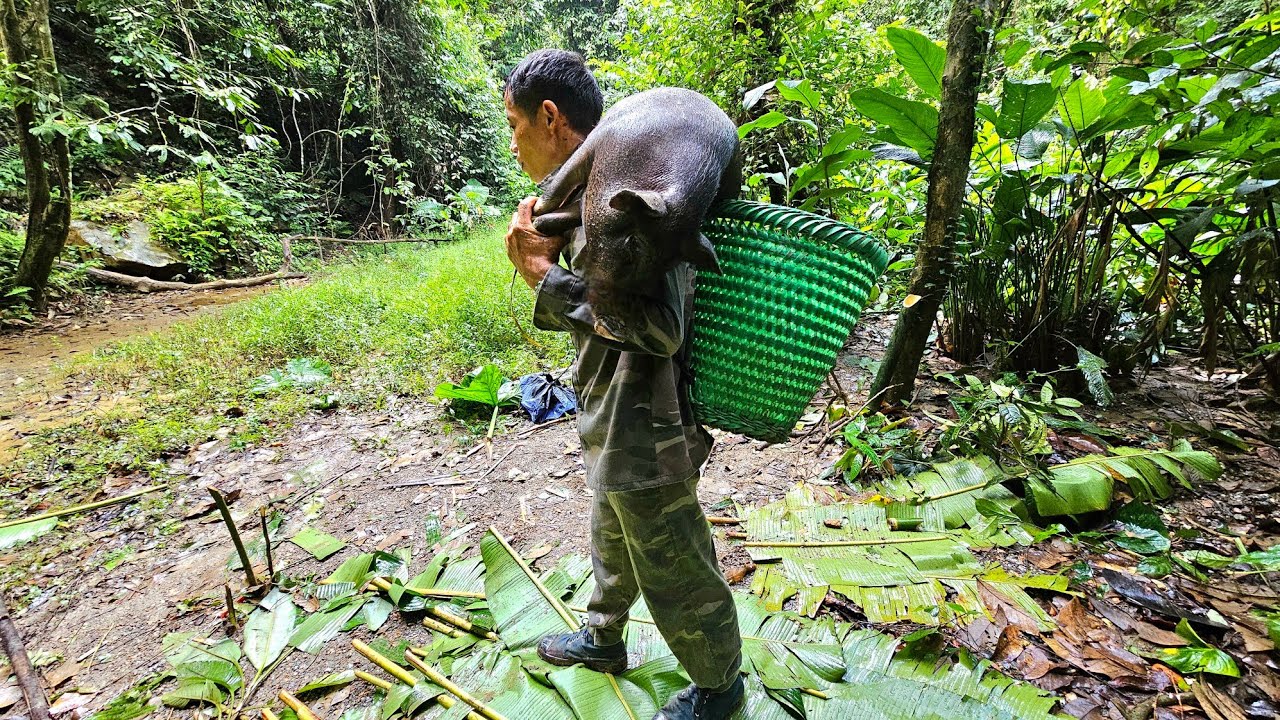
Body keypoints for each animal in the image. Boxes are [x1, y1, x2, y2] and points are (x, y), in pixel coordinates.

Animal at [531, 86, 742, 336]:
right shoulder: (595, 143)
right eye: (632, 244)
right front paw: (537, 209)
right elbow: (563, 180)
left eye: (666, 265)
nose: (617, 329)